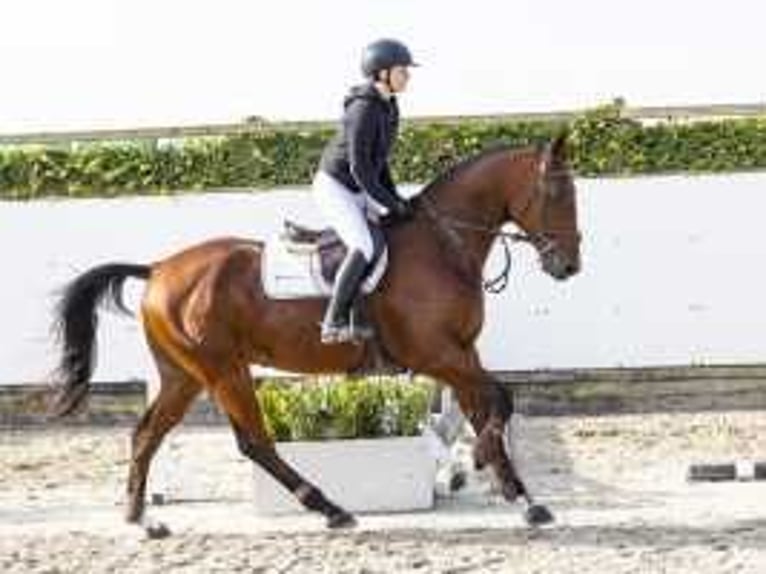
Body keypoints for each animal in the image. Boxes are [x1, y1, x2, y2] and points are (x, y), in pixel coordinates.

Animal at [49, 133, 584, 536]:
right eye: (558, 194)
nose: (569, 266)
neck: (444, 244)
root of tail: (159, 268)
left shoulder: (461, 353)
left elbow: (485, 408)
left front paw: (523, 499)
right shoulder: (436, 354)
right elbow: (501, 399)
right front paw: (480, 463)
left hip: (185, 375)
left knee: (147, 435)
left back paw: (141, 520)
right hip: (222, 369)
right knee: (254, 443)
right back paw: (330, 509)